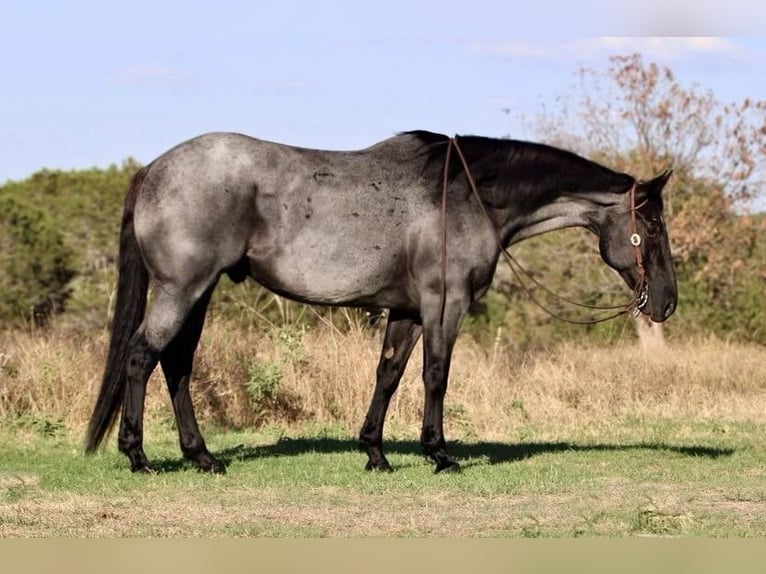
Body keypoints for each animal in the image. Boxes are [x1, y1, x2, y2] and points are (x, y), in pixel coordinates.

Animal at [84, 132, 680, 476]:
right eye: (651, 224)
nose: (666, 302)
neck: (467, 195)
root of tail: (153, 168)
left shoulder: (408, 312)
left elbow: (388, 375)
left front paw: (375, 452)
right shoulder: (445, 305)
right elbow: (435, 375)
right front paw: (439, 453)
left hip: (198, 293)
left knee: (177, 365)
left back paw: (202, 457)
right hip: (181, 290)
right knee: (142, 357)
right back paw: (138, 456)